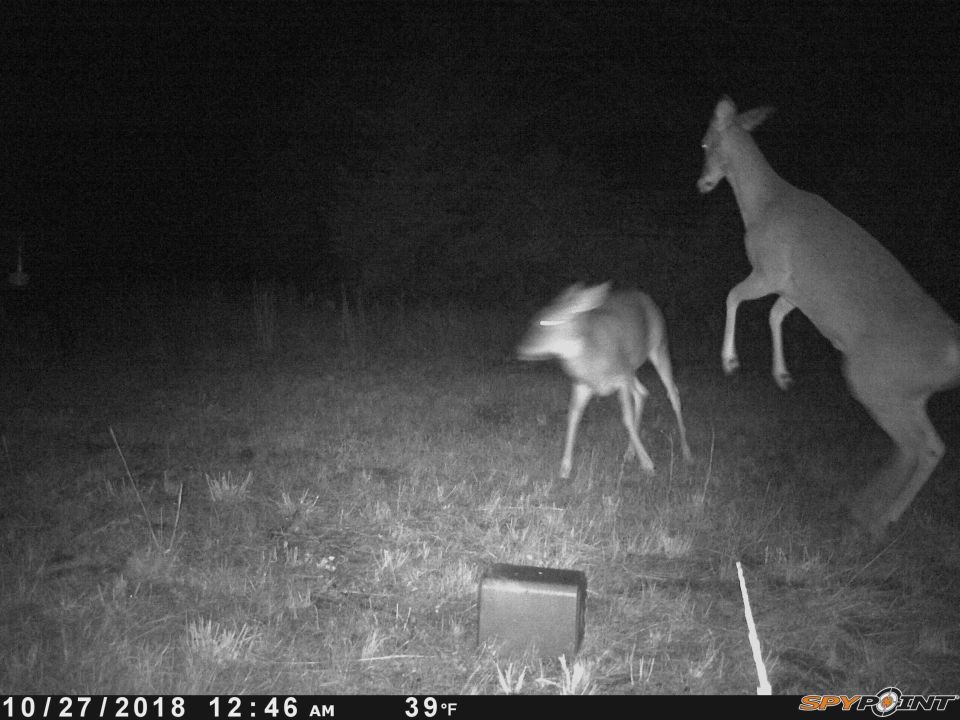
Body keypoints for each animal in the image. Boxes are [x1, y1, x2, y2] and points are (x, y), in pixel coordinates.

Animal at [517, 282, 692, 479]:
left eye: (548, 321)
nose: (522, 349)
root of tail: (648, 299)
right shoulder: (582, 384)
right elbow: (573, 416)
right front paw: (565, 467)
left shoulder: (620, 379)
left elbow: (627, 418)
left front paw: (648, 464)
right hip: (630, 368)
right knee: (642, 392)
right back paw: (630, 452)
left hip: (658, 346)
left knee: (673, 393)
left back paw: (686, 452)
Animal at [697, 95, 960, 537]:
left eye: (704, 143)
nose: (701, 183)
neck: (763, 206)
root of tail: (952, 351)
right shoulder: (793, 291)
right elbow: (775, 316)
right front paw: (782, 376)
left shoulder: (770, 270)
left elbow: (733, 297)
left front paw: (730, 361)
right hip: (907, 392)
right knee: (927, 445)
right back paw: (865, 505)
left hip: (877, 379)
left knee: (920, 447)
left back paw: (877, 517)